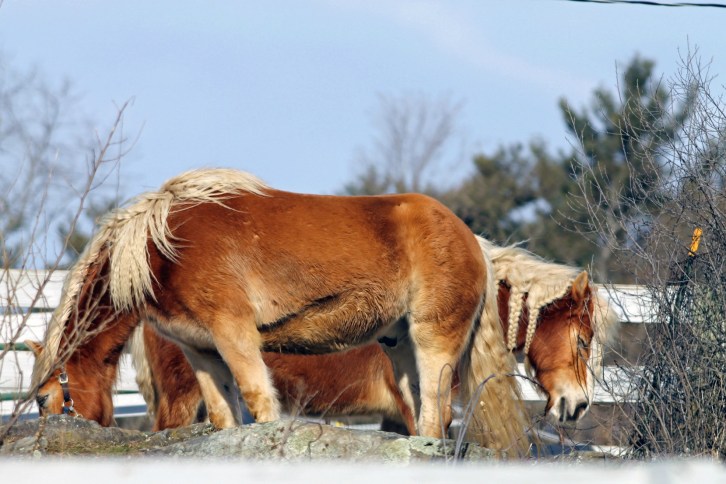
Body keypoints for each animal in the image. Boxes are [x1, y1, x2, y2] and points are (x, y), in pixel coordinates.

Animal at [28, 167, 504, 442]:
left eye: (44, 400)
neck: (160, 250)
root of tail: (470, 240)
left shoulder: (235, 334)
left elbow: (260, 403)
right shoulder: (201, 352)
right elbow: (225, 417)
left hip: (433, 339)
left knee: (436, 414)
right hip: (399, 346)